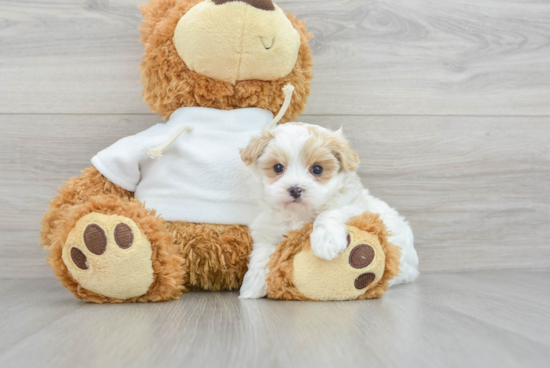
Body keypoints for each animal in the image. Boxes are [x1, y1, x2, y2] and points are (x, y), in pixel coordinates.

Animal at [239, 123, 420, 300]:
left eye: (317, 169)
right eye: (278, 167)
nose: (295, 189)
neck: (299, 213)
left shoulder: (356, 207)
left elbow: (329, 213)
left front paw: (326, 241)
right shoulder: (267, 230)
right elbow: (262, 255)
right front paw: (252, 285)